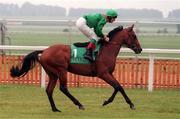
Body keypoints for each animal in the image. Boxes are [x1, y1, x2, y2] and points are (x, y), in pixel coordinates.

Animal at [10, 24, 142, 111]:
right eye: (134, 36)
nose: (140, 49)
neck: (107, 50)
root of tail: (45, 51)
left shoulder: (109, 73)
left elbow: (117, 87)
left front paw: (107, 101)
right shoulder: (103, 74)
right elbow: (118, 86)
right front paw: (131, 104)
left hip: (52, 73)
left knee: (49, 90)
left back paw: (55, 109)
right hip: (61, 70)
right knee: (63, 88)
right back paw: (79, 104)